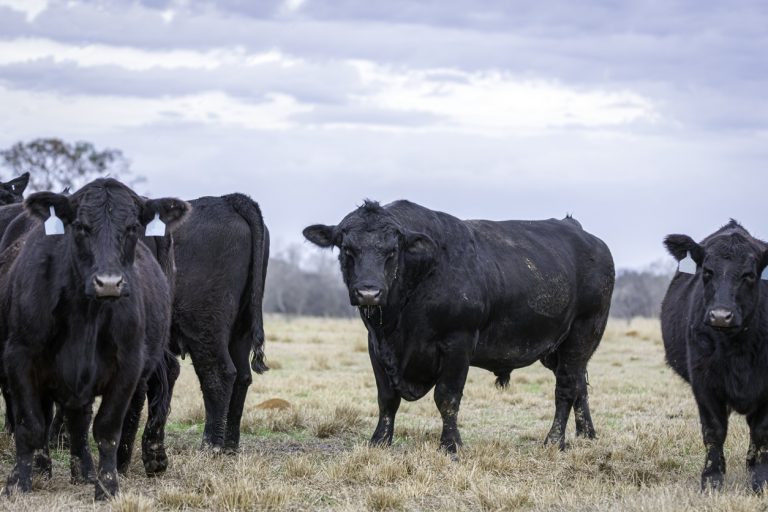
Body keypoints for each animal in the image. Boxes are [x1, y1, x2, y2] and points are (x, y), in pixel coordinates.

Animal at [0, 178, 189, 499]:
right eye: (80, 226)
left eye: (133, 228)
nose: (109, 283)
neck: (85, 317)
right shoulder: (19, 359)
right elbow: (31, 424)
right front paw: (18, 483)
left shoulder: (128, 366)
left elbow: (107, 429)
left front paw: (108, 487)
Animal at [303, 200, 614, 453]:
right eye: (347, 249)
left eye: (392, 251)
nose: (369, 292)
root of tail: (579, 231)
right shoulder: (376, 345)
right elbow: (387, 398)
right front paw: (379, 441)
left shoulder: (458, 343)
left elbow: (447, 397)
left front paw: (451, 445)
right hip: (558, 348)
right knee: (579, 383)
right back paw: (587, 435)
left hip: (583, 333)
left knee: (566, 388)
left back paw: (554, 441)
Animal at [661, 220, 768, 492]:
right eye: (707, 272)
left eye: (749, 275)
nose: (721, 315)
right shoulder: (704, 382)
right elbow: (714, 431)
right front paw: (711, 479)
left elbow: (761, 432)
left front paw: (760, 480)